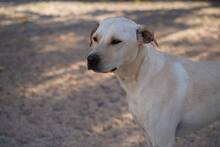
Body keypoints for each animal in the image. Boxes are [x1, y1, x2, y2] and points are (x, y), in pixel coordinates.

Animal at [87, 16, 220, 146]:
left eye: (116, 41)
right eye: (95, 38)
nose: (90, 59)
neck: (140, 78)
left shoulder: (163, 139)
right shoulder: (147, 134)